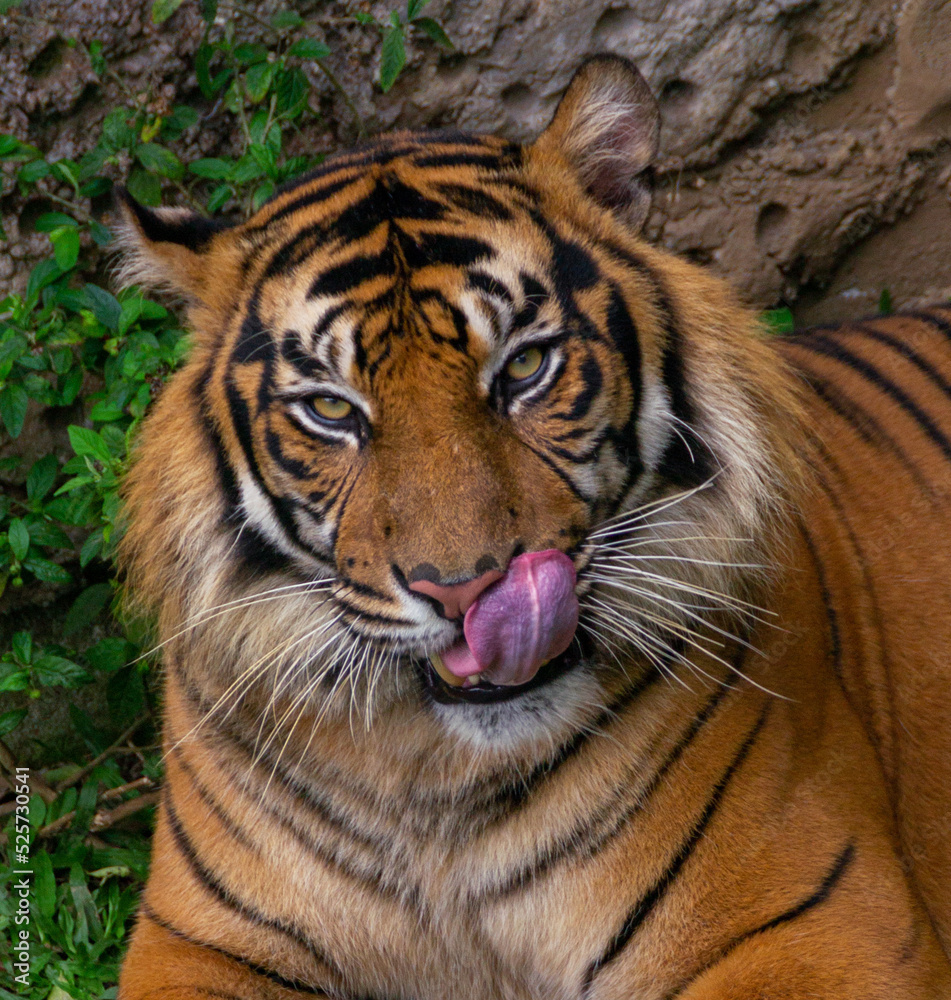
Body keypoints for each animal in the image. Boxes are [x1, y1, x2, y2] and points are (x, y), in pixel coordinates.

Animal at [112, 55, 951, 999]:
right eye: (330, 409)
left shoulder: (812, 918)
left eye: (524, 367)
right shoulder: (199, 939)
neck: (438, 785)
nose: (466, 590)